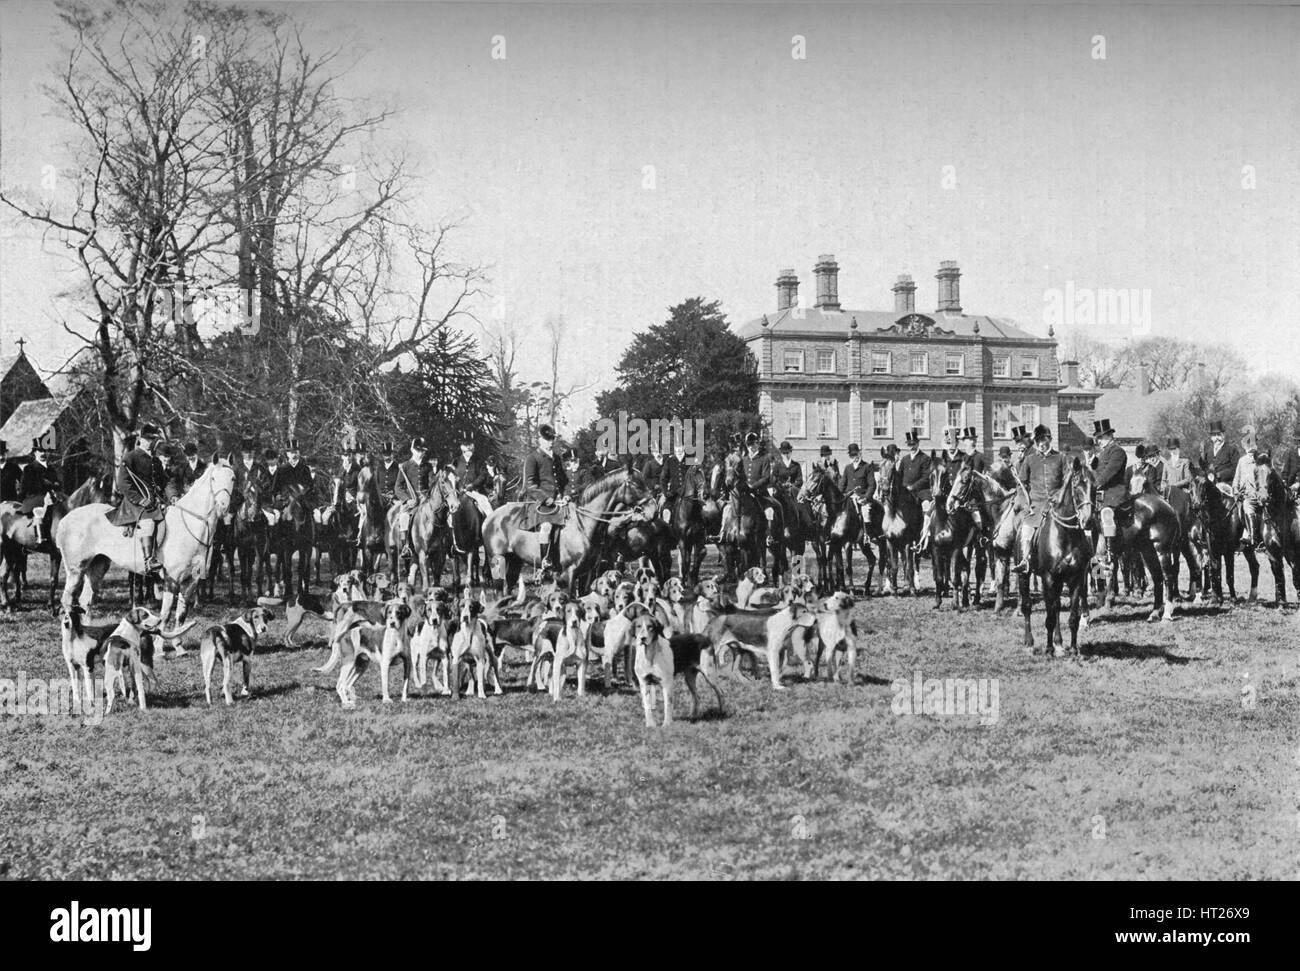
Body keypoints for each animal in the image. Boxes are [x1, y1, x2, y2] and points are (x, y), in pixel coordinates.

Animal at [55, 460, 233, 642]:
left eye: (232, 478)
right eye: (213, 478)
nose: (223, 507)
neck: (189, 525)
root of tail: (65, 519)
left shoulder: (191, 581)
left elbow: (181, 616)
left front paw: (177, 644)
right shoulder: (171, 579)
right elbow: (165, 615)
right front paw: (160, 646)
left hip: (97, 566)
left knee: (86, 601)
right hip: (76, 570)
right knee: (67, 600)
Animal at [480, 467, 647, 595]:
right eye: (636, 485)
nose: (650, 511)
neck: (583, 524)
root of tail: (490, 517)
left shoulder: (587, 574)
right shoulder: (568, 575)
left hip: (514, 561)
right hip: (498, 561)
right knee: (498, 591)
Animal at [873, 457, 925, 600]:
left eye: (892, 469)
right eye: (880, 468)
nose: (885, 491)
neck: (895, 512)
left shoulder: (908, 542)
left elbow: (909, 567)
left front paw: (912, 590)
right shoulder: (891, 541)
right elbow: (894, 566)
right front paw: (894, 591)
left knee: (911, 562)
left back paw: (912, 586)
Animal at [1013, 460, 1097, 657]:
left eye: (1095, 486)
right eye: (1077, 485)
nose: (1088, 520)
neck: (1066, 534)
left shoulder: (1075, 579)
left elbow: (1072, 617)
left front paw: (1073, 649)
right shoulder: (1048, 578)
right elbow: (1049, 616)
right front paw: (1049, 649)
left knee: (1057, 607)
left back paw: (1059, 643)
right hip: (1025, 575)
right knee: (1028, 606)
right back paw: (1030, 643)